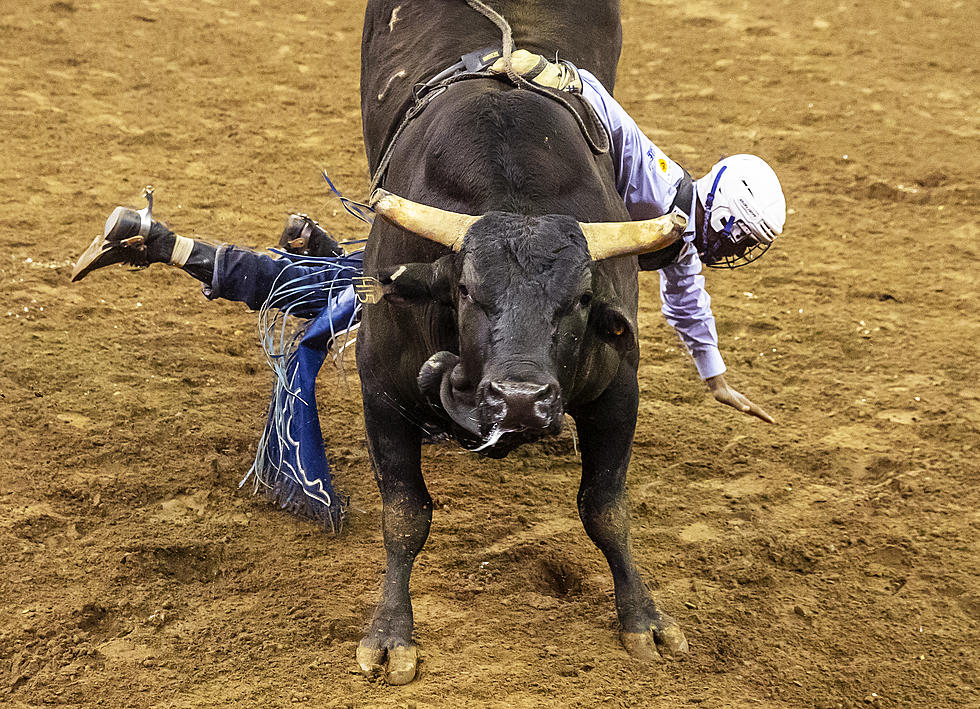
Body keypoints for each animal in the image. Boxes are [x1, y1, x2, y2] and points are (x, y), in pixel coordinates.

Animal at [356, 1, 684, 684]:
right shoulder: (380, 387)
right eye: (465, 291)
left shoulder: (618, 390)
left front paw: (642, 618)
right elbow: (405, 515)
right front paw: (391, 634)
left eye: (580, 298)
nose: (521, 400)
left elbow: (605, 508)